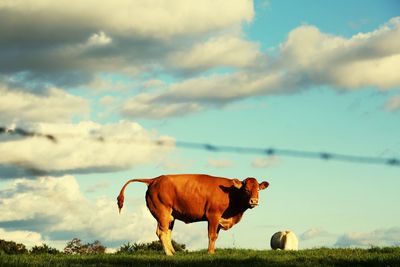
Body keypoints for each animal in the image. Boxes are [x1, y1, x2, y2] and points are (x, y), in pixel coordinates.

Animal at [118, 175, 268, 256]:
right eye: (246, 189)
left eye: (258, 189)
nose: (254, 201)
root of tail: (155, 179)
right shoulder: (213, 216)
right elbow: (212, 236)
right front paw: (210, 253)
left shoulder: (219, 220)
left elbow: (215, 236)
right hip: (162, 213)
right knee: (161, 232)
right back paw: (169, 254)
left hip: (171, 216)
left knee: (167, 233)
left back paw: (174, 252)